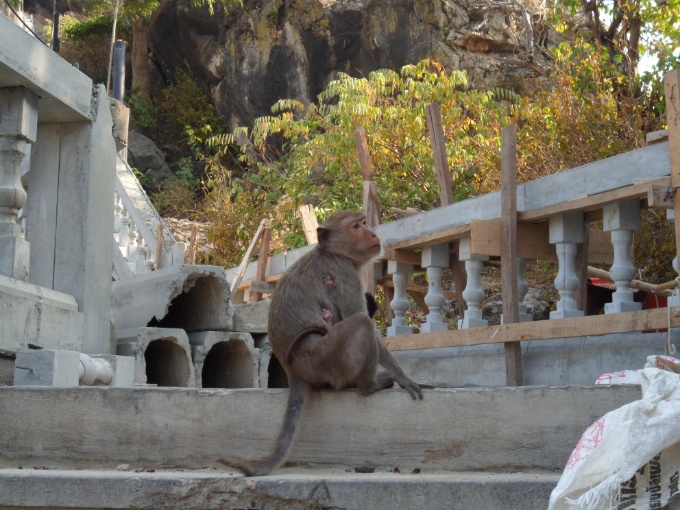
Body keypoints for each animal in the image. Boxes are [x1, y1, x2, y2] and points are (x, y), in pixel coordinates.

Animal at [220, 209, 424, 476]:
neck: (333, 253)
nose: (372, 233)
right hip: (327, 358)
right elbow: (357, 316)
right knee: (361, 323)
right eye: (356, 226)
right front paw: (404, 378)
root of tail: (294, 372)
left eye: (364, 223)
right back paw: (369, 385)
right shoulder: (345, 274)